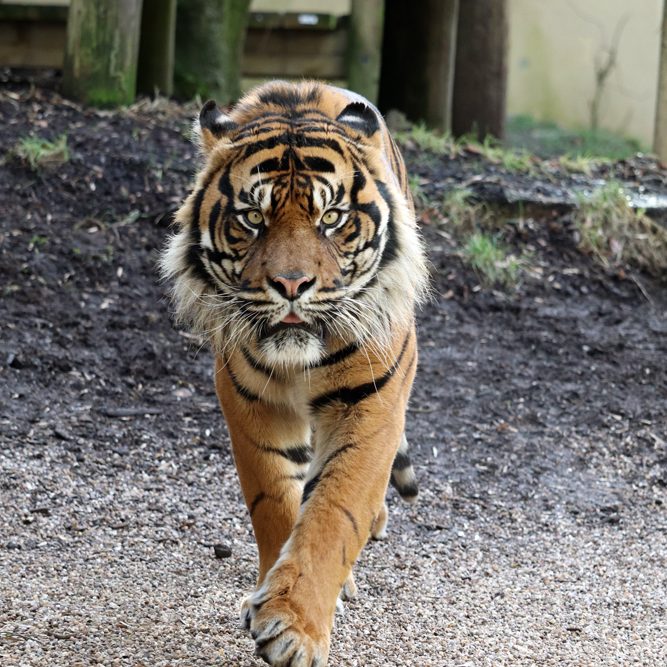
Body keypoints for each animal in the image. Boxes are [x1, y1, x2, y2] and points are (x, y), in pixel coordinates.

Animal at [162, 81, 428, 664]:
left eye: (330, 219)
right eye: (251, 219)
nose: (290, 285)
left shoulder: (371, 401)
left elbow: (334, 510)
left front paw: (293, 627)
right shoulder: (249, 400)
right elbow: (275, 503)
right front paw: (274, 601)